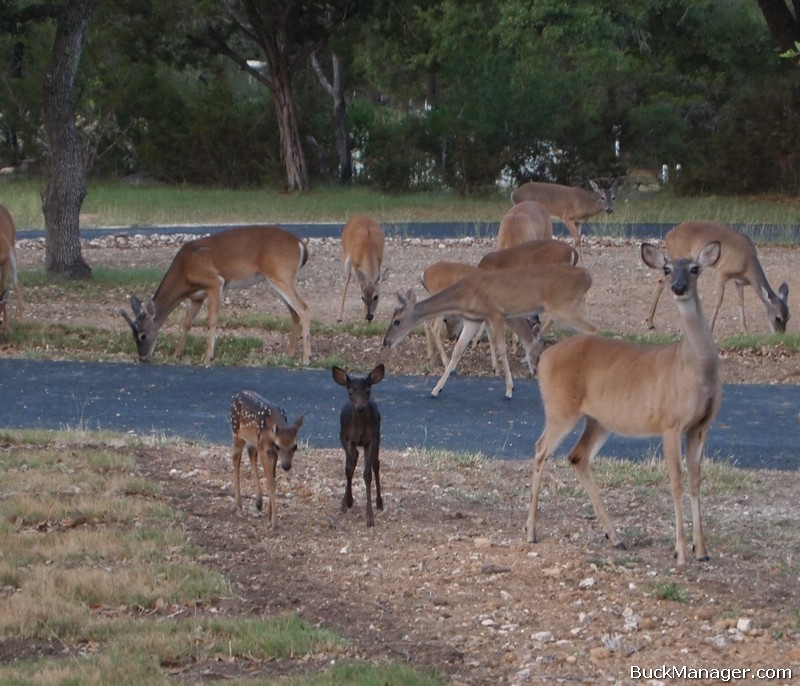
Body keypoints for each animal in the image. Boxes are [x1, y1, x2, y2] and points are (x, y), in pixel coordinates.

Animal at [119, 226, 312, 366]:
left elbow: (212, 320)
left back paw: (306, 358)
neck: (184, 271)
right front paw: (176, 354)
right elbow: (187, 323)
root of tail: (301, 244)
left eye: (143, 335)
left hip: (281, 274)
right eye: (132, 335)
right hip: (279, 278)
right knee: (294, 312)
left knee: (303, 308)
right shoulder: (197, 296)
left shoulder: (214, 282)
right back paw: (290, 354)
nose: (143, 359)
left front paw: (208, 357)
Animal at [233, 392, 308, 532]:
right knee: (236, 458)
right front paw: (274, 522)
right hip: (236, 431)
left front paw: (269, 515)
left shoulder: (271, 452)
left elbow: (272, 479)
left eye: (295, 446)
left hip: (253, 440)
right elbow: (270, 480)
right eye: (278, 446)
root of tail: (238, 393)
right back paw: (238, 503)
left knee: (251, 453)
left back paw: (258, 502)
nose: (286, 466)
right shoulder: (265, 449)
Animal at [332, 366, 386, 528]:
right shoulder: (346, 438)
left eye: (368, 390)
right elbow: (348, 469)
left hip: (378, 437)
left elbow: (367, 474)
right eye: (350, 392)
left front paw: (370, 517)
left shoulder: (371, 439)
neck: (360, 428)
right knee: (354, 458)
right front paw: (347, 502)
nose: (360, 407)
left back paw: (379, 502)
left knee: (376, 465)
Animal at [524, 241, 724, 564]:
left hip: (598, 420)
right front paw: (681, 552)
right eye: (667, 268)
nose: (678, 287)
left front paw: (702, 550)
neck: (693, 367)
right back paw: (531, 532)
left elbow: (695, 480)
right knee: (541, 450)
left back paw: (615, 537)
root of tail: (545, 358)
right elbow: (676, 481)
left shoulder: (701, 425)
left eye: (695, 269)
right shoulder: (670, 423)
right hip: (560, 408)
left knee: (577, 456)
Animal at [644, 223, 788, 336]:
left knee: (661, 281)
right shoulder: (723, 272)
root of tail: (668, 235)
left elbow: (741, 303)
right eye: (778, 318)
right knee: (664, 282)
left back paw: (651, 322)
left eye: (789, 317)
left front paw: (745, 332)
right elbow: (719, 301)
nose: (780, 335)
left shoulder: (738, 281)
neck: (747, 266)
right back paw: (652, 322)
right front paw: (711, 329)